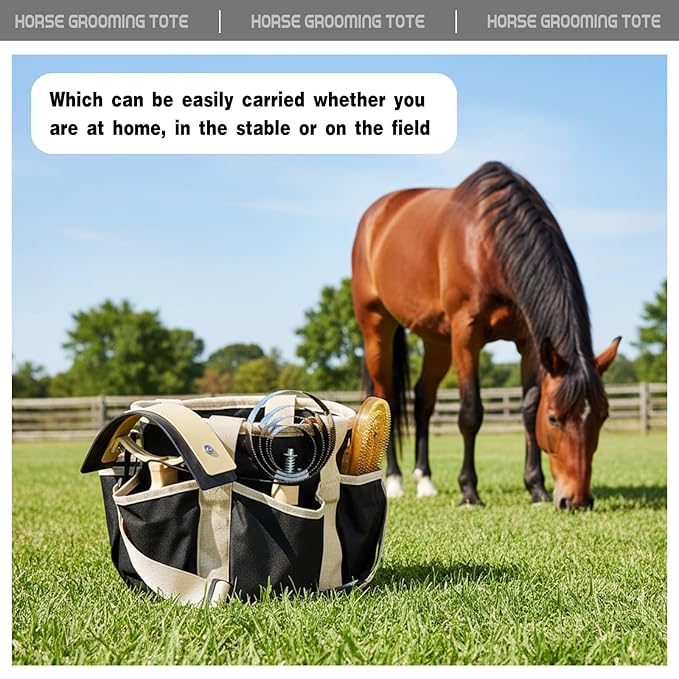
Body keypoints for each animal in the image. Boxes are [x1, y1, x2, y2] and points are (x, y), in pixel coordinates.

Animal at [351, 161, 620, 510]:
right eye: (554, 419)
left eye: (602, 416)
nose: (576, 501)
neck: (487, 242)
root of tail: (376, 215)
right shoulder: (466, 335)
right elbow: (471, 414)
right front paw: (469, 491)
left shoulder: (530, 343)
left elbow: (527, 410)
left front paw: (536, 489)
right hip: (377, 326)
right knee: (387, 400)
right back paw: (394, 482)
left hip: (436, 341)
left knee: (423, 400)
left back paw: (424, 481)